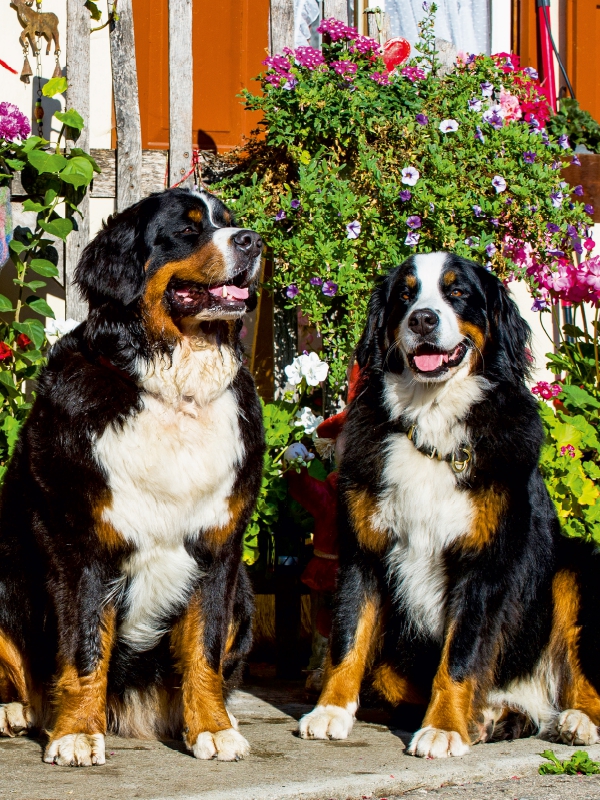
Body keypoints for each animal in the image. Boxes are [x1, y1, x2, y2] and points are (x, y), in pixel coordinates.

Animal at [0, 184, 264, 764]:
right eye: (187, 229)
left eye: (229, 220)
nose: (253, 241)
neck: (174, 393)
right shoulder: (79, 544)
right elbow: (83, 646)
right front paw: (77, 733)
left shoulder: (218, 548)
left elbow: (205, 647)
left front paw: (213, 727)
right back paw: (14, 709)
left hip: (247, 596)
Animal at [300, 253, 600, 760]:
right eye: (405, 294)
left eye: (457, 293)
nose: (422, 318)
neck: (432, 422)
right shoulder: (363, 551)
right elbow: (349, 636)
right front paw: (331, 710)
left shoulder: (482, 564)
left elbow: (460, 654)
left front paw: (444, 728)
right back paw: (497, 717)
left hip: (574, 566)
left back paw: (576, 720)